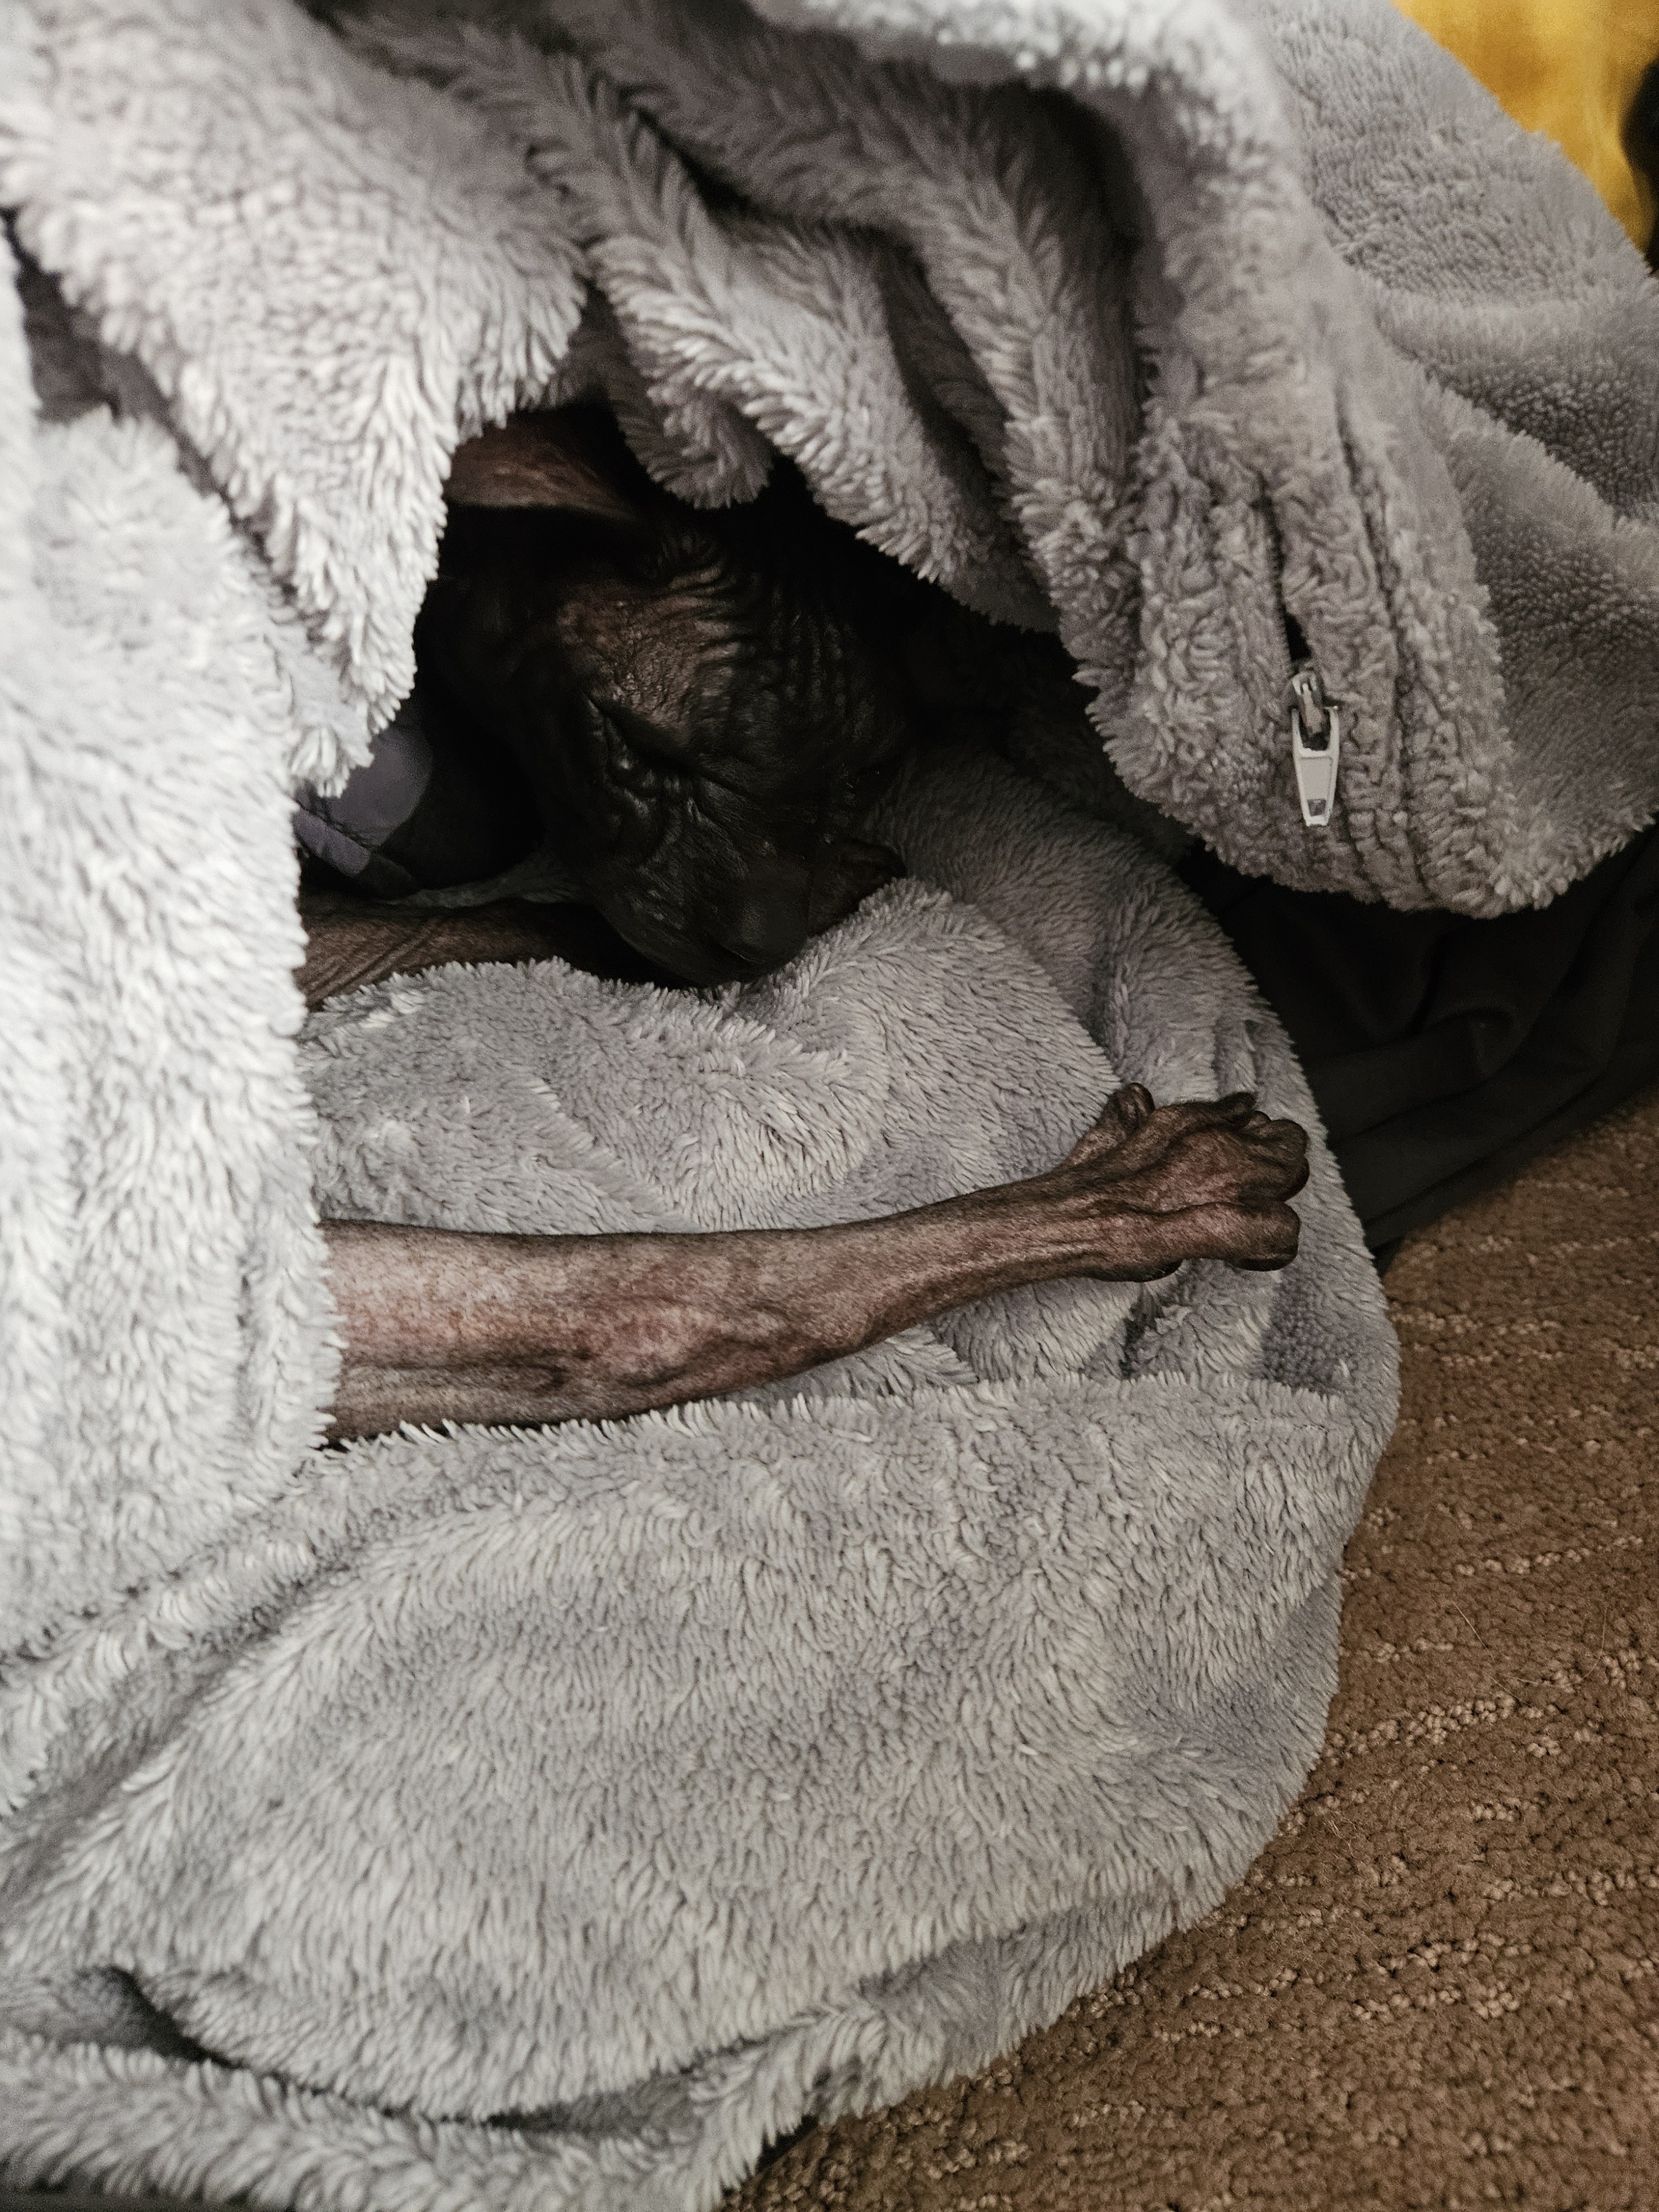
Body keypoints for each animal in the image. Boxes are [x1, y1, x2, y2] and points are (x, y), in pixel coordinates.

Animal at [303, 418, 1310, 1451]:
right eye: (644, 746)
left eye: (859, 781)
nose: (761, 943)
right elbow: (527, 914)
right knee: (707, 1303)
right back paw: (1167, 1187)